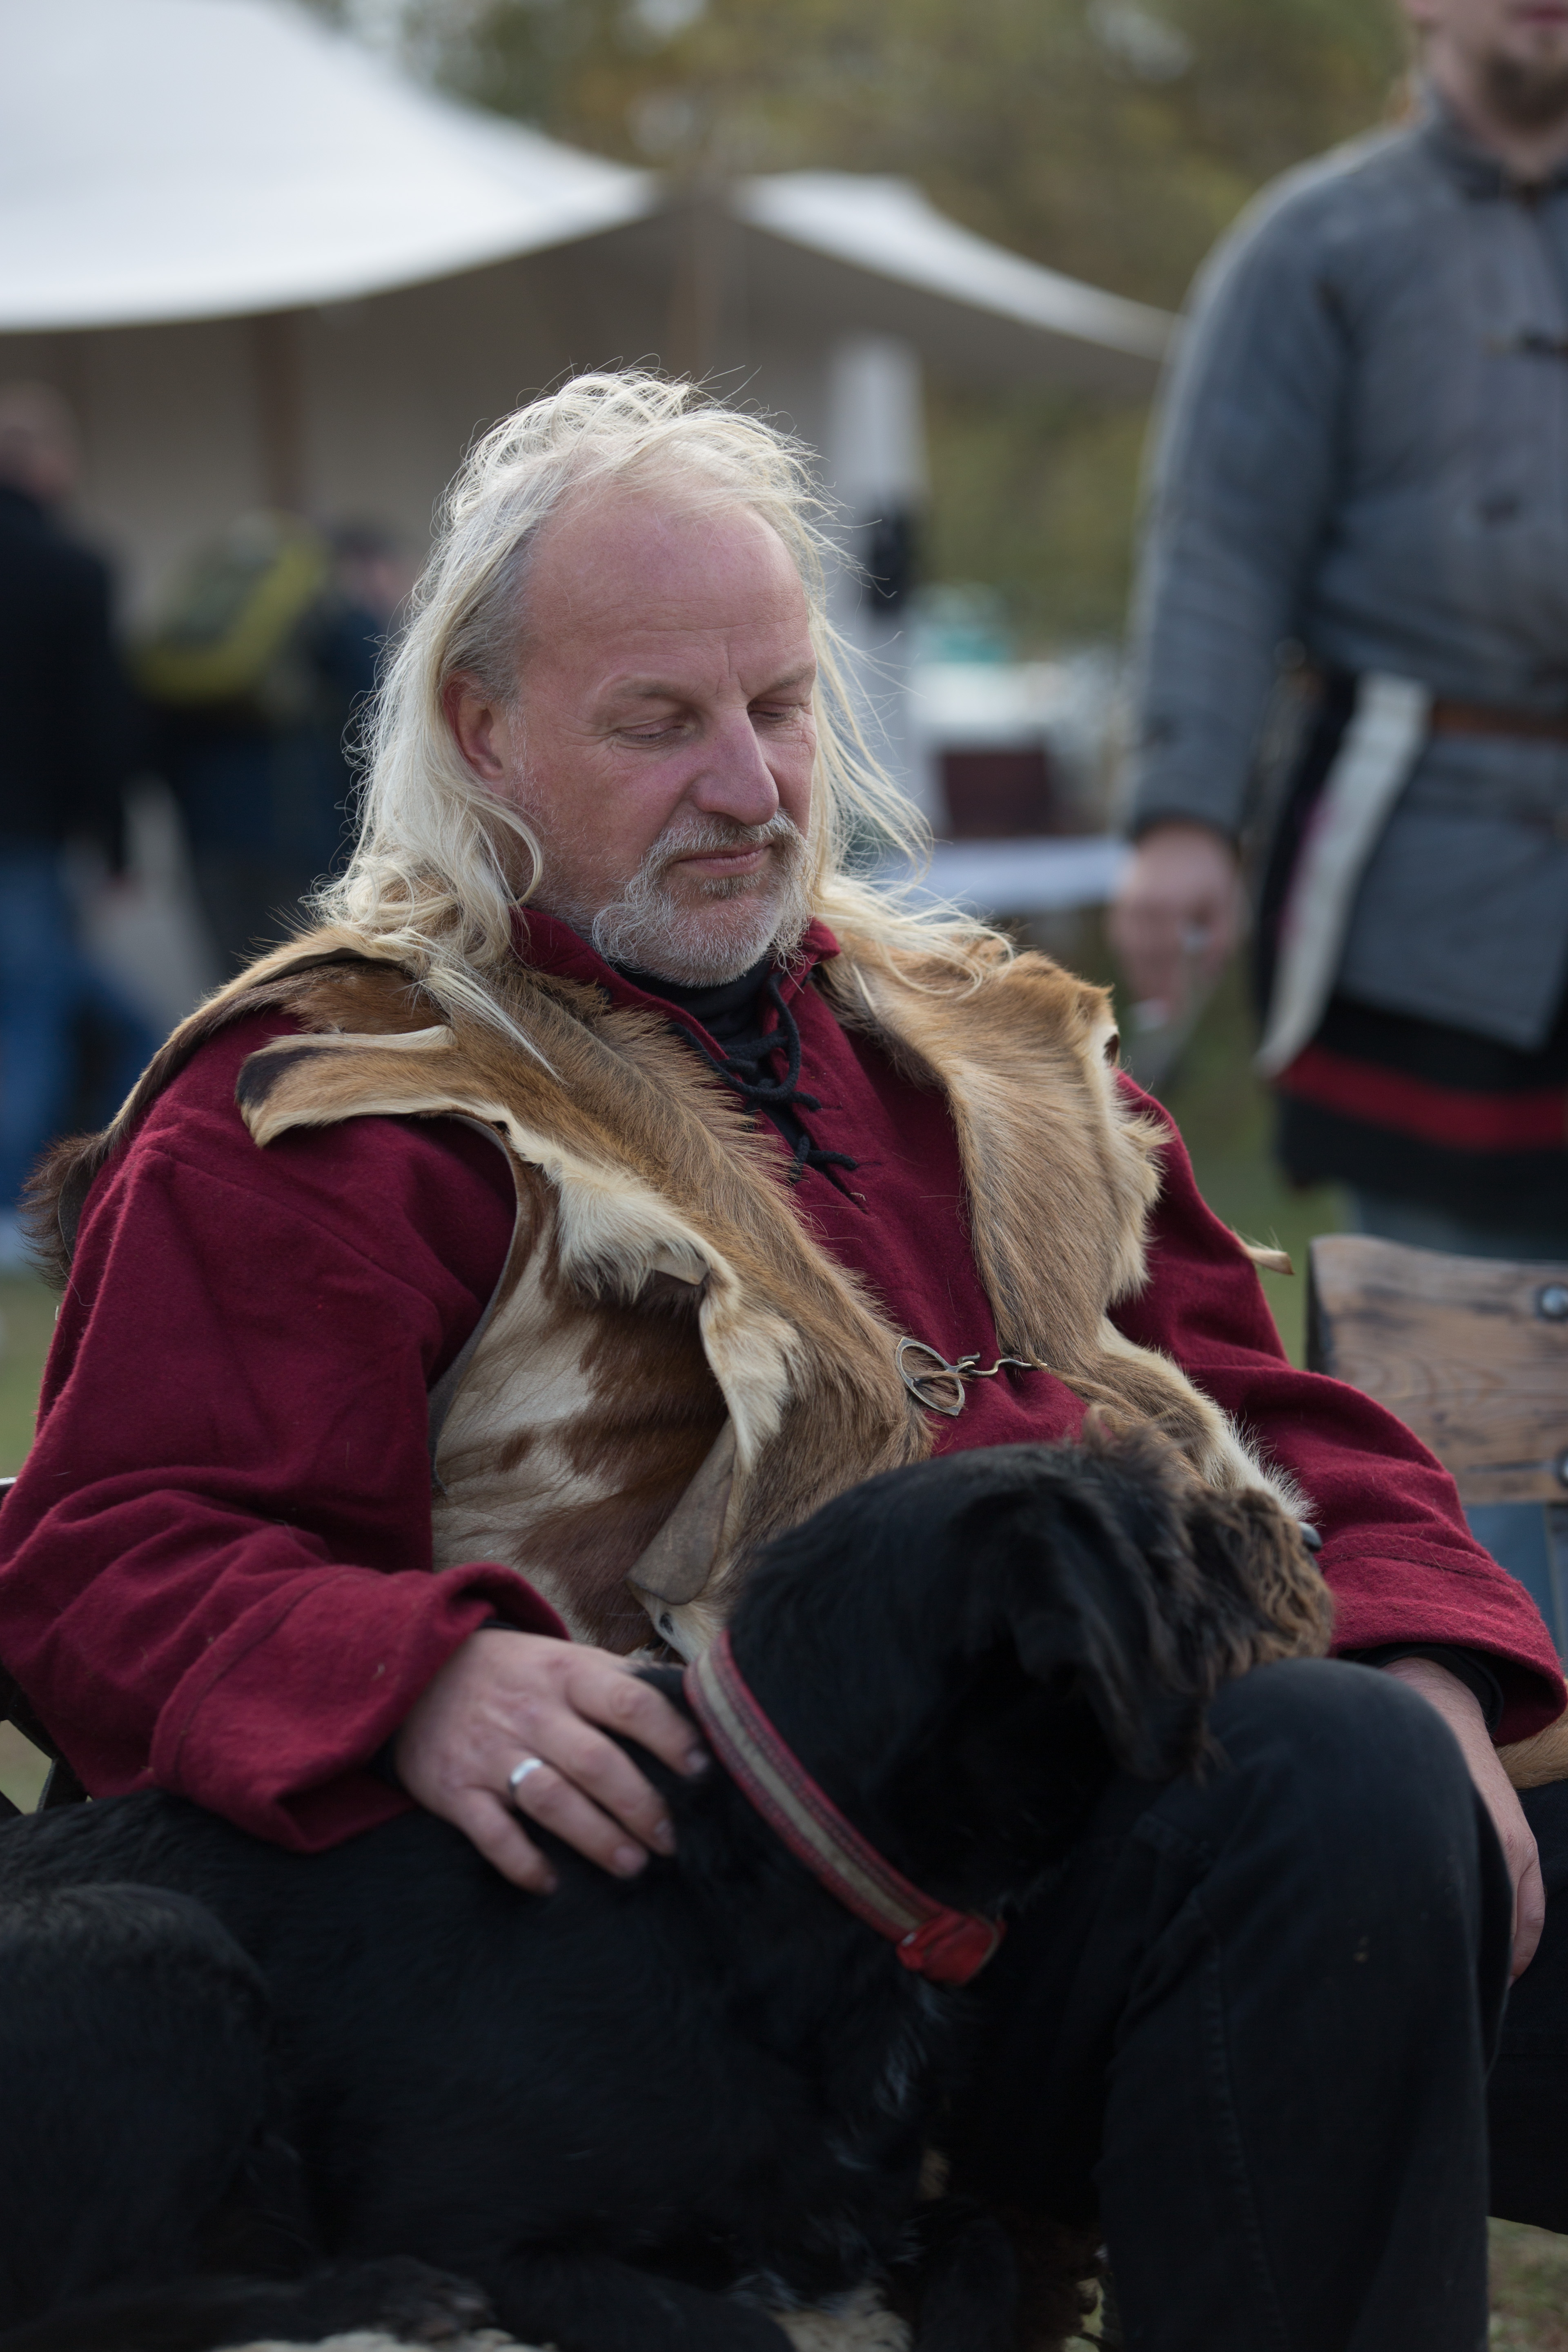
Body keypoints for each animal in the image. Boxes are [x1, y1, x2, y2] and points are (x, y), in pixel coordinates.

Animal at [0, 1431, 1329, 2352]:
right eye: (1173, 1535)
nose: (1309, 1538)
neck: (764, 1868)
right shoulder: (472, 2224)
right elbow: (731, 2324)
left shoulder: (859, 2212)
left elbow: (978, 2246)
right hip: (153, 1940)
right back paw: (365, 2294)